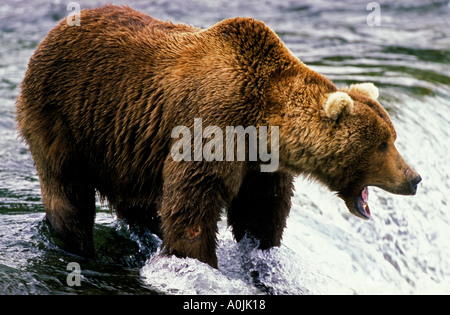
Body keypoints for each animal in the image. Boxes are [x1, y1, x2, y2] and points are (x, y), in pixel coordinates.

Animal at [15, 4, 420, 268]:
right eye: (383, 144)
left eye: (393, 137)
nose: (414, 177)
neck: (264, 123)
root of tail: (54, 31)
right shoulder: (215, 126)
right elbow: (193, 204)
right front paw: (199, 261)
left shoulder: (260, 164)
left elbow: (261, 212)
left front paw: (261, 251)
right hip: (62, 116)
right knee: (68, 193)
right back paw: (80, 247)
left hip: (125, 146)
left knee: (138, 200)